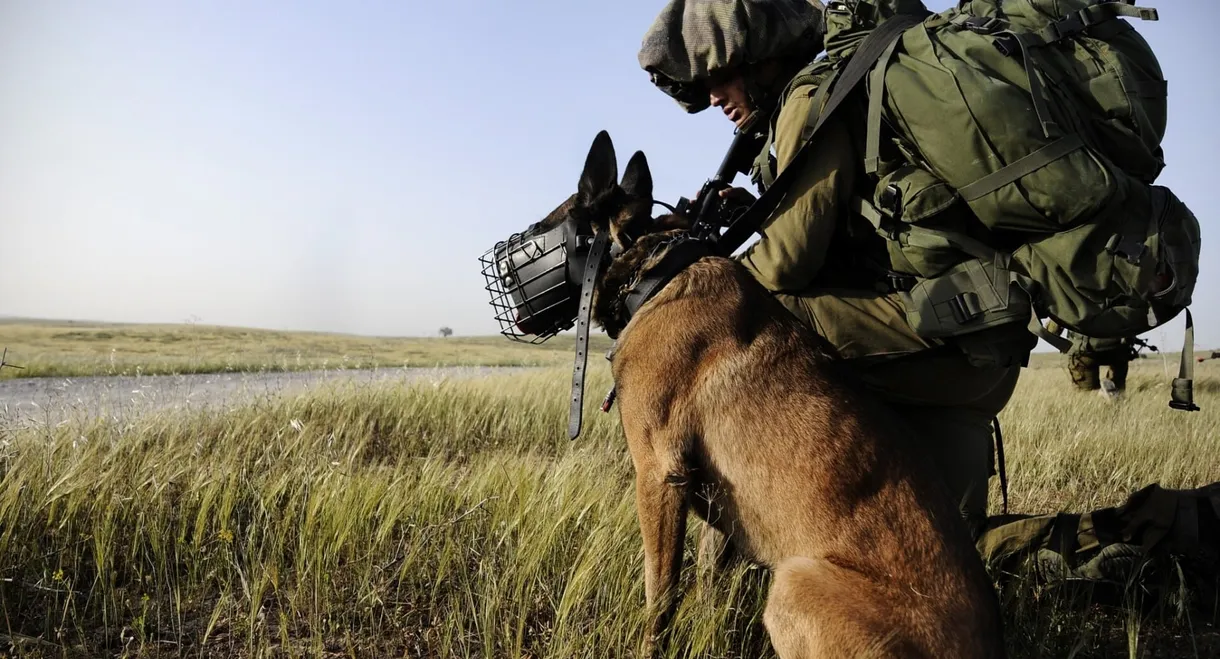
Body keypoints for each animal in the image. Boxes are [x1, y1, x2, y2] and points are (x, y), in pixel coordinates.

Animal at [529, 131, 1005, 654]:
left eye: (539, 229)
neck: (655, 270)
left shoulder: (658, 474)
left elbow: (660, 598)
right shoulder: (714, 504)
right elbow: (706, 586)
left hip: (793, 583)